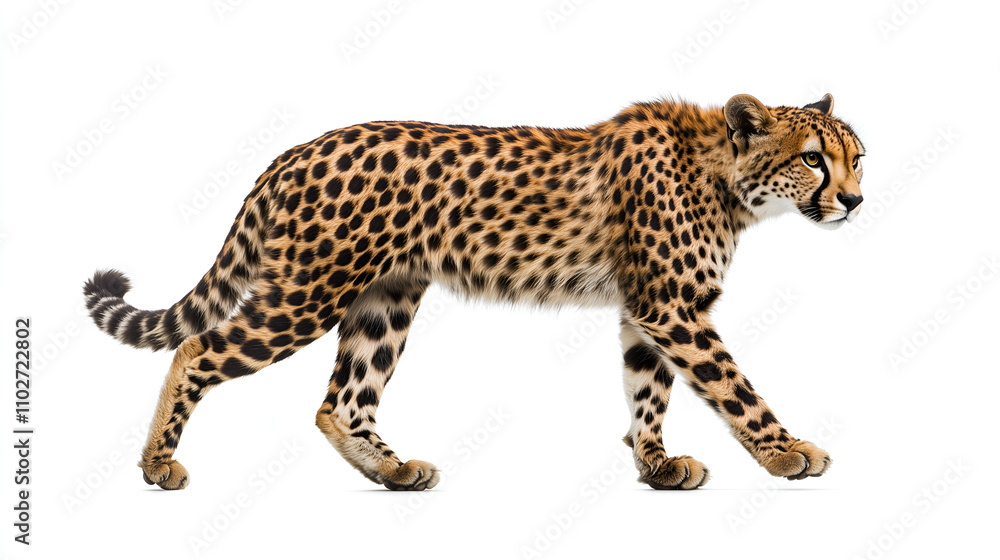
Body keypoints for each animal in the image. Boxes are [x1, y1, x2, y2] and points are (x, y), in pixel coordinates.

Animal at [83, 92, 864, 491]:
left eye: (857, 157)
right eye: (812, 160)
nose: (854, 201)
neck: (728, 179)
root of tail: (296, 149)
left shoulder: (647, 309)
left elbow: (648, 390)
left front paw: (656, 463)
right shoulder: (672, 307)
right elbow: (733, 385)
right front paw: (787, 450)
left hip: (386, 299)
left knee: (341, 402)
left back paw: (393, 470)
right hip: (307, 295)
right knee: (195, 350)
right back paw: (156, 463)